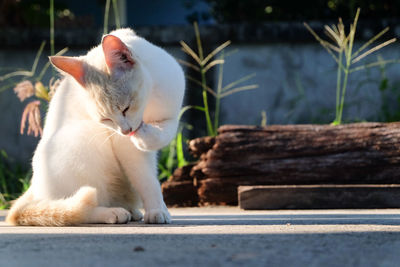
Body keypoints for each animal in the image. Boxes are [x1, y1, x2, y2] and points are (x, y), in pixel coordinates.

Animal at [6, 28, 184, 226]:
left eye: (126, 108)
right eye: (106, 119)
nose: (126, 131)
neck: (149, 103)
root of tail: (33, 187)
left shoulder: (171, 113)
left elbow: (164, 133)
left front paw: (144, 135)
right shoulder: (125, 146)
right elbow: (146, 180)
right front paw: (156, 210)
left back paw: (132, 210)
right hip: (82, 138)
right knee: (79, 208)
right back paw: (112, 213)